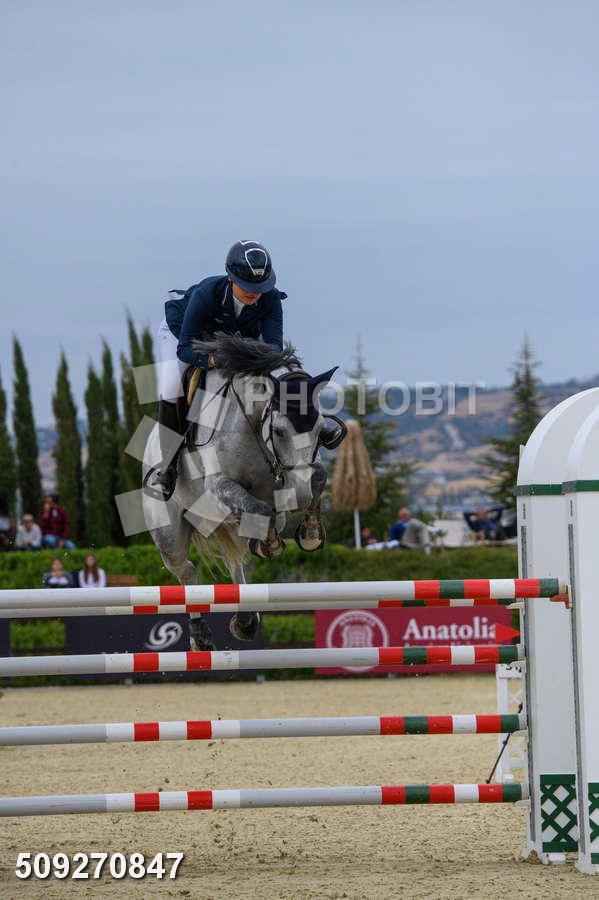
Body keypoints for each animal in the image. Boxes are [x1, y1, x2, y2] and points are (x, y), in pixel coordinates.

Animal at [142, 334, 343, 650]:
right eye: (280, 430)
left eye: (320, 428)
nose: (299, 495)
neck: (252, 424)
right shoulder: (219, 486)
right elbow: (259, 508)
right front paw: (270, 543)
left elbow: (317, 478)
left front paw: (310, 533)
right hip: (169, 535)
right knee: (186, 570)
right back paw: (201, 637)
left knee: (235, 562)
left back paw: (246, 620)